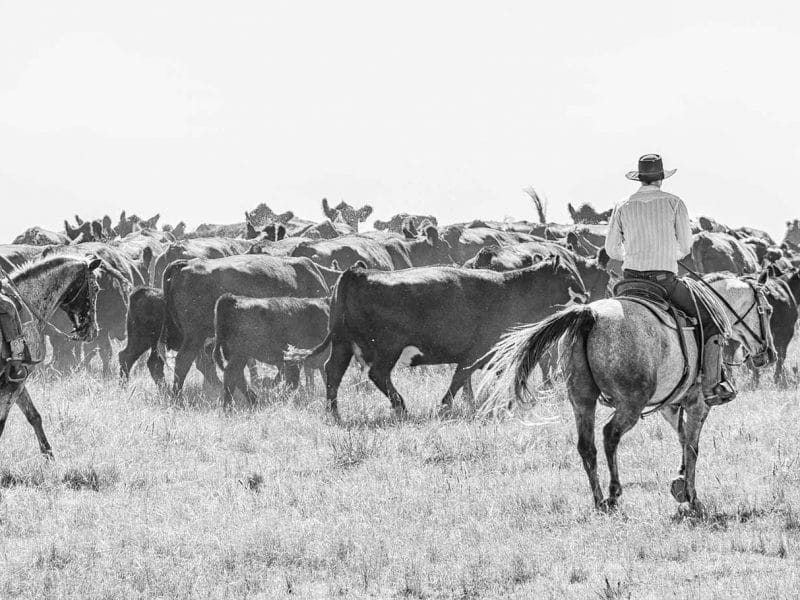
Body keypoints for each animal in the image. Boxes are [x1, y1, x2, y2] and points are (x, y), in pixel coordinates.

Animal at [0, 255, 102, 458]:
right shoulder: (12, 384)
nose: (93, 331)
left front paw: (49, 455)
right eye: (95, 288)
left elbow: (34, 416)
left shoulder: (19, 381)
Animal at [482, 274, 776, 512]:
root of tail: (590, 314)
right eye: (768, 310)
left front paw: (679, 482)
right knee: (610, 435)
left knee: (586, 446)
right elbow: (692, 446)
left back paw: (599, 500)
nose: (769, 353)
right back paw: (613, 494)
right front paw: (692, 496)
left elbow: (682, 438)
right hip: (630, 404)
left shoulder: (670, 405)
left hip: (582, 400)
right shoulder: (697, 403)